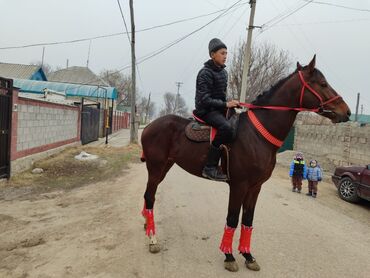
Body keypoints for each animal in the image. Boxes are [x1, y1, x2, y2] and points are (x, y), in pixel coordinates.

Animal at [139, 56, 350, 272]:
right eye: (322, 83)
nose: (347, 111)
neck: (257, 135)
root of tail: (148, 126)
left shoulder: (255, 187)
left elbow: (248, 220)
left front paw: (248, 255)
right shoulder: (239, 186)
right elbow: (232, 218)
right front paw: (229, 256)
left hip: (164, 168)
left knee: (148, 197)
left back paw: (147, 224)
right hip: (155, 168)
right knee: (149, 197)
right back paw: (153, 239)